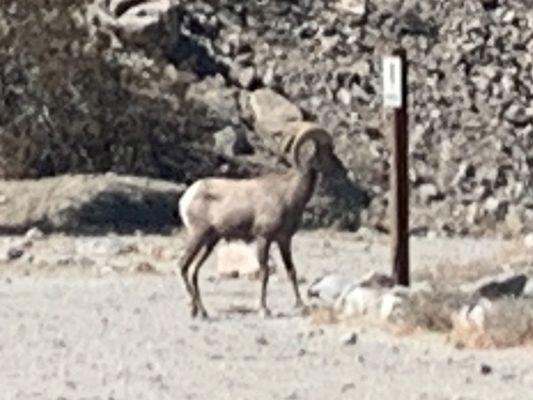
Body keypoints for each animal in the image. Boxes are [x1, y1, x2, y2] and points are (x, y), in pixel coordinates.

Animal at [177, 122, 338, 318]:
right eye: (328, 151)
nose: (340, 169)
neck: (287, 194)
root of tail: (187, 196)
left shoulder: (284, 241)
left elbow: (291, 271)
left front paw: (300, 305)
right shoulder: (263, 239)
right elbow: (265, 272)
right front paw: (264, 309)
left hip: (210, 242)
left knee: (193, 271)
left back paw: (202, 311)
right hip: (197, 236)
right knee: (183, 266)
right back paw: (196, 311)